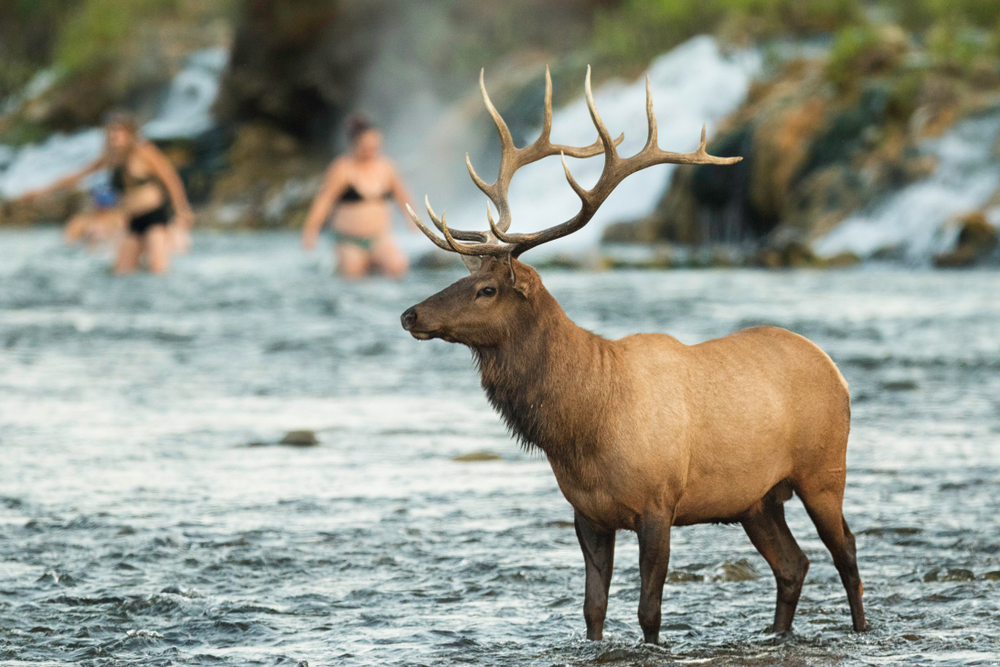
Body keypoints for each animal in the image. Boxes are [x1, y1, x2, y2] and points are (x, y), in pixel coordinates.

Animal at [399, 66, 866, 644]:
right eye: (463, 279)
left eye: (488, 290)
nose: (411, 314)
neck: (583, 426)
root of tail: (835, 370)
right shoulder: (587, 514)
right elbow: (593, 610)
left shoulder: (658, 502)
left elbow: (649, 612)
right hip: (756, 499)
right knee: (793, 565)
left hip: (824, 470)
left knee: (846, 552)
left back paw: (862, 630)